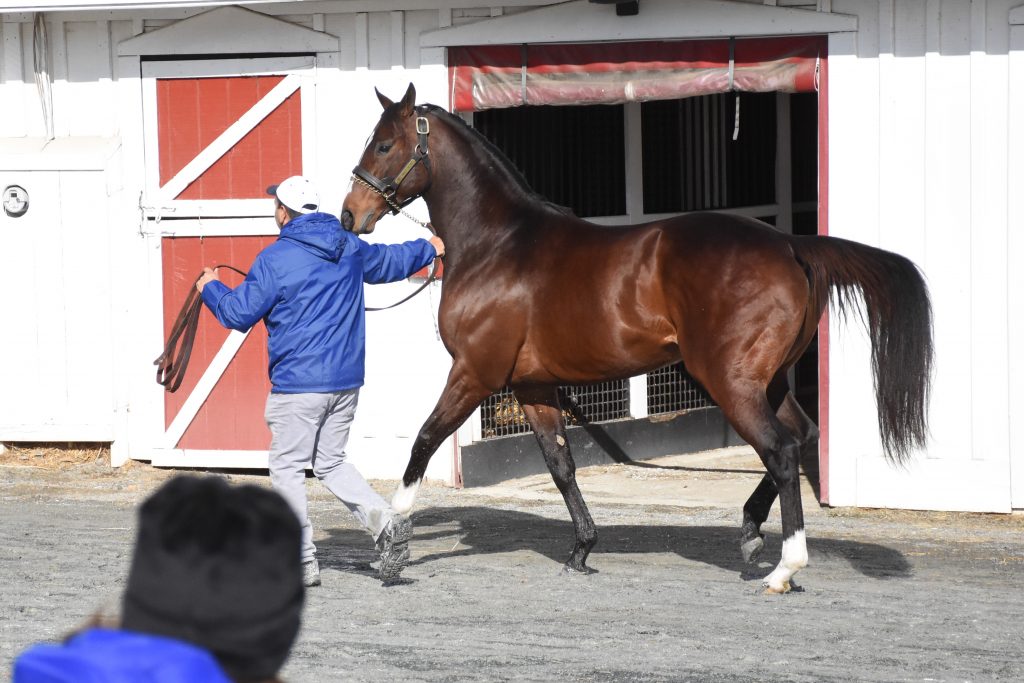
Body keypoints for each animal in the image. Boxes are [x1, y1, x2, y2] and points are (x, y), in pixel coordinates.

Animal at [339, 83, 933, 593]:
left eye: (385, 143)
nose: (350, 214)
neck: (498, 244)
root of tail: (789, 244)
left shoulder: (473, 373)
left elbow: (422, 442)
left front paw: (391, 543)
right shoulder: (532, 385)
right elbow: (561, 466)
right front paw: (582, 549)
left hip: (731, 381)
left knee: (782, 452)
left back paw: (783, 567)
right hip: (766, 381)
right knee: (802, 435)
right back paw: (749, 532)